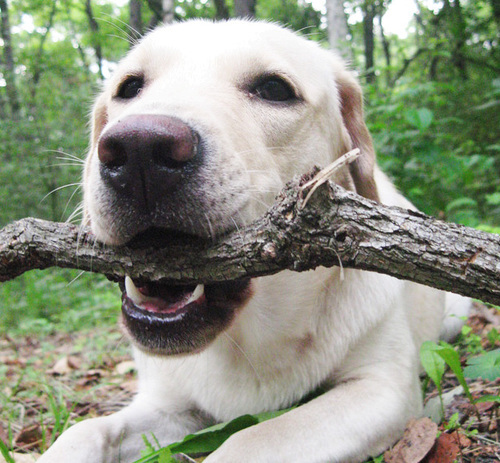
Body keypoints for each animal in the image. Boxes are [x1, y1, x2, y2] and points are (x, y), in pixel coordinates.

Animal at [38, 20, 468, 462]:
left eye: (275, 89)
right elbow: (84, 431)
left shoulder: (381, 389)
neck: (247, 339)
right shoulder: (167, 405)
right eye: (129, 86)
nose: (139, 148)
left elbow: (246, 440)